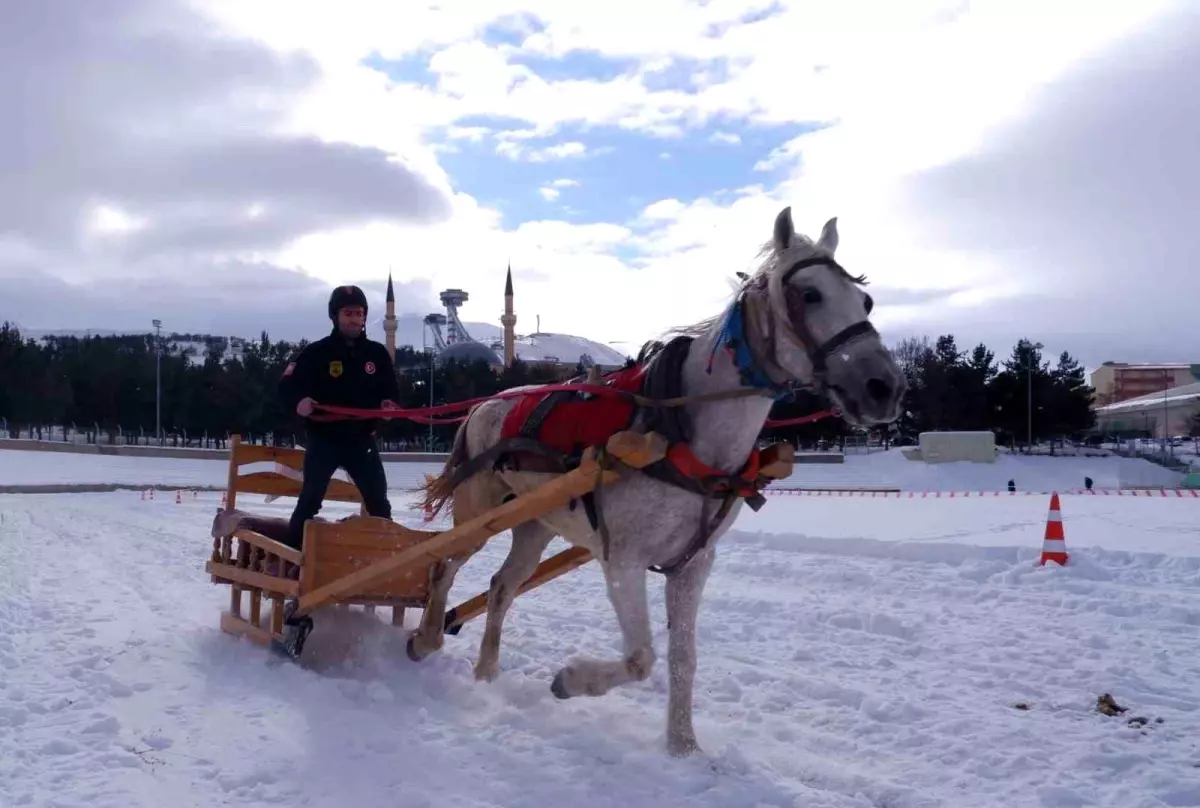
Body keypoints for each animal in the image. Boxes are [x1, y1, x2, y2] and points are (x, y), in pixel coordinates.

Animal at [417, 207, 902, 758]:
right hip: (478, 513)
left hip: (535, 523)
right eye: (809, 294)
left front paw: (683, 746)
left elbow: (682, 660)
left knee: (501, 588)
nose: (884, 387)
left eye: (865, 301)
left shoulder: (693, 563)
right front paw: (571, 679)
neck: (682, 431)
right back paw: (427, 638)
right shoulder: (622, 559)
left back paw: (486, 673)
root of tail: (483, 404)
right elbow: (640, 657)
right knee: (442, 567)